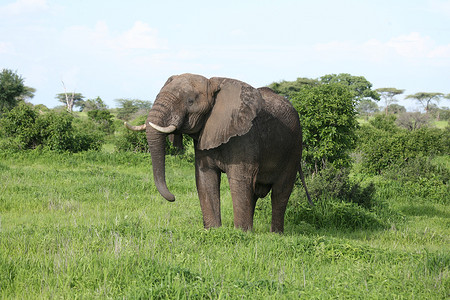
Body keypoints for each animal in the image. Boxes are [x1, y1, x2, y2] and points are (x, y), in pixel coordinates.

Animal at [125, 74, 312, 233]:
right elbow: (205, 178)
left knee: (280, 191)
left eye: (190, 101)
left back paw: (275, 234)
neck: (212, 84)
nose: (173, 198)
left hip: (294, 148)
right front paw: (213, 231)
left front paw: (241, 234)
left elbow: (240, 180)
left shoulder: (245, 135)